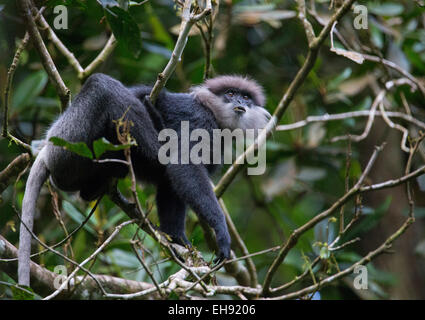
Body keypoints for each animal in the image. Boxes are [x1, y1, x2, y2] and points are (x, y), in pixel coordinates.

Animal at [17, 74, 268, 286]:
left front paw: (176, 238)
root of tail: (46, 148)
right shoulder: (199, 120)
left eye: (246, 97)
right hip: (70, 141)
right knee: (103, 86)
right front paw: (221, 233)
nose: (240, 101)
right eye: (230, 93)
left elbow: (171, 186)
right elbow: (183, 165)